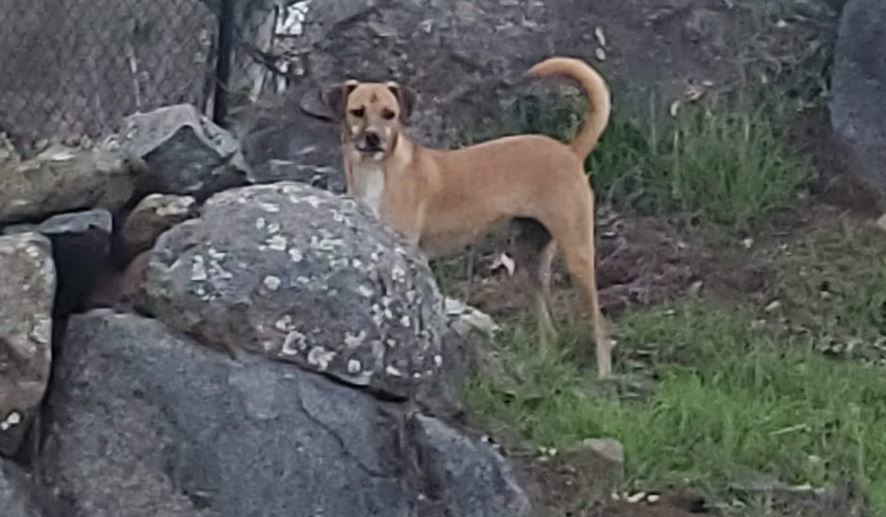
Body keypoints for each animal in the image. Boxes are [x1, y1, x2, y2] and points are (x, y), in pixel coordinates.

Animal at [328, 57, 616, 374]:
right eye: (357, 112)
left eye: (389, 114)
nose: (373, 138)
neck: (377, 171)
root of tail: (570, 151)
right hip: (529, 260)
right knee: (549, 330)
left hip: (577, 257)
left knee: (600, 327)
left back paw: (603, 376)